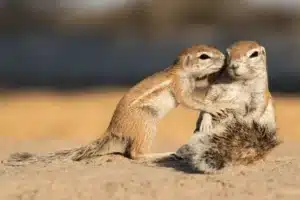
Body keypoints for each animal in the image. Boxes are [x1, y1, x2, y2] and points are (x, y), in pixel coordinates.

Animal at [3, 43, 236, 164]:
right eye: (204, 56)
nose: (224, 59)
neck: (181, 71)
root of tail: (113, 131)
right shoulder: (179, 86)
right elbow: (190, 101)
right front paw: (213, 107)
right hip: (146, 123)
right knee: (135, 155)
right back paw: (166, 153)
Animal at [173, 41, 282, 173]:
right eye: (228, 54)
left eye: (254, 54)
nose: (234, 65)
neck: (240, 81)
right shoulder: (215, 88)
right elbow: (208, 102)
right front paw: (206, 123)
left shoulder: (260, 94)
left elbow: (256, 110)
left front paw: (242, 122)